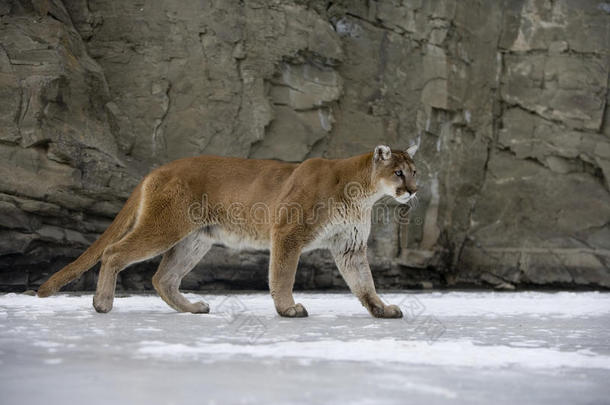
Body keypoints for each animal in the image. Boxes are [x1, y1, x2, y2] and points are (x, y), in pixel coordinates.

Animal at [36, 144, 418, 318]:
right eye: (398, 172)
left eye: (415, 172)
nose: (413, 190)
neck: (363, 193)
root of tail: (157, 170)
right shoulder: (289, 232)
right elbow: (283, 274)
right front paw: (288, 309)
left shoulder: (349, 247)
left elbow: (364, 283)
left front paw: (382, 310)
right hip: (166, 226)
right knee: (114, 252)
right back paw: (102, 303)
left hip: (195, 239)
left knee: (162, 277)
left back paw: (191, 308)